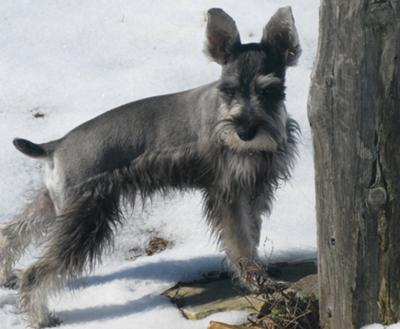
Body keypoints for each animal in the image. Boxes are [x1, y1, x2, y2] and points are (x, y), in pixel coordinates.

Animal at [0, 6, 300, 326]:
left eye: (270, 91)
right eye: (228, 90)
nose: (245, 132)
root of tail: (55, 145)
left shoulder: (255, 189)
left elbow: (252, 234)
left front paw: (260, 273)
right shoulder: (229, 193)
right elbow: (240, 240)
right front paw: (257, 281)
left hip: (54, 205)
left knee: (11, 233)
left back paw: (6, 276)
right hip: (82, 218)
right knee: (37, 272)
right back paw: (42, 316)